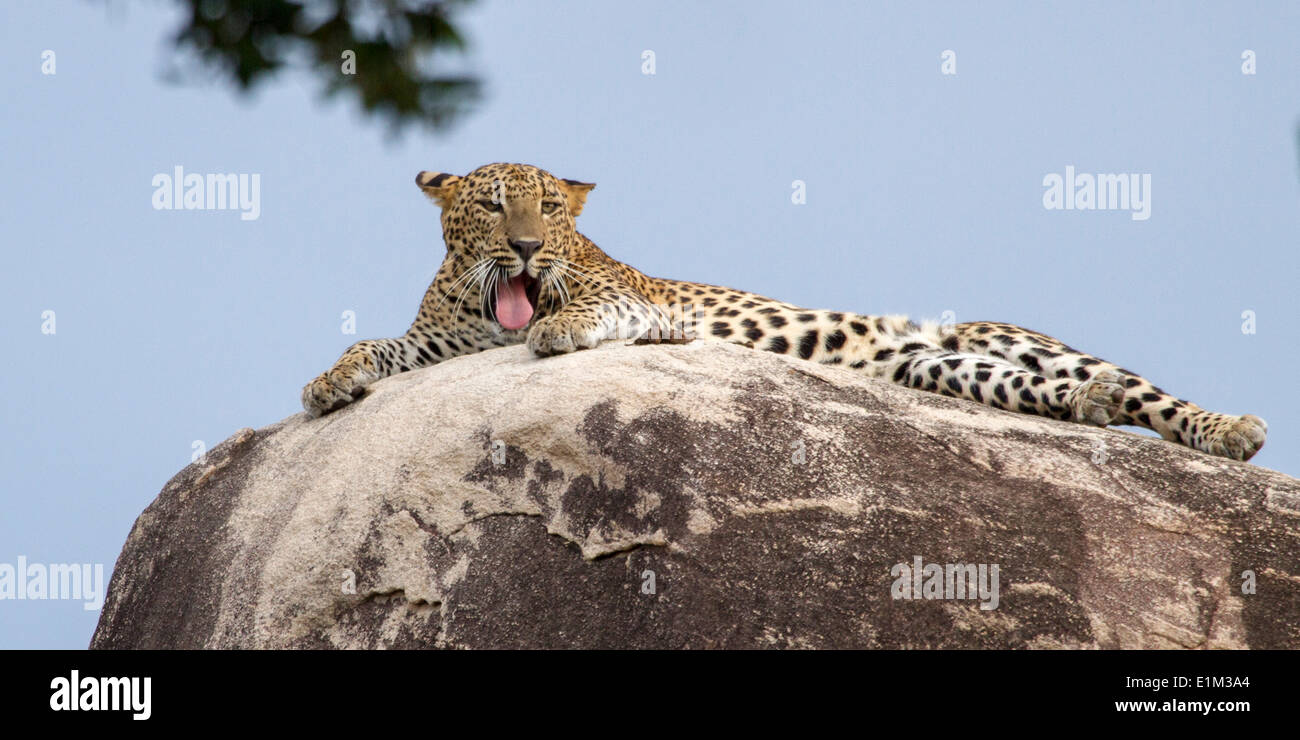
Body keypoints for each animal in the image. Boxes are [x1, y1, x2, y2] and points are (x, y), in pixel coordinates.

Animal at [299, 163, 1263, 462]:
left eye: (550, 211)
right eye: (494, 206)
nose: (530, 250)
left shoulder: (643, 301)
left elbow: (594, 304)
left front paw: (559, 325)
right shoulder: (438, 341)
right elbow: (375, 345)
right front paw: (327, 383)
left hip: (1009, 337)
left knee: (1136, 388)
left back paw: (1229, 429)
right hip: (943, 368)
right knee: (1050, 393)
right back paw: (1083, 410)